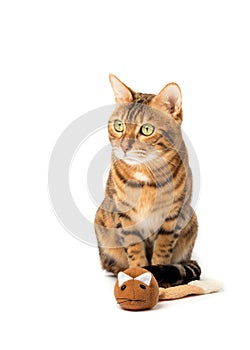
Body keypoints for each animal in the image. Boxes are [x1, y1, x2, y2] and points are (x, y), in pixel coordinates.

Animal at [94, 74, 201, 288]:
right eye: (119, 125)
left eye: (146, 129)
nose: (124, 147)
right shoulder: (125, 215)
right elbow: (134, 248)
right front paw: (138, 273)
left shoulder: (172, 216)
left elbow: (163, 249)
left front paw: (158, 276)